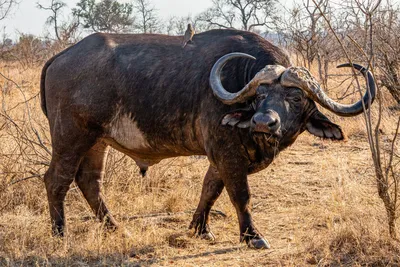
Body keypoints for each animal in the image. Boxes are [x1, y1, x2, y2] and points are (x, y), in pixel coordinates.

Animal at [40, 28, 376, 249]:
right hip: (71, 136)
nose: (263, 122)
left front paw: (200, 228)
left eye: (295, 97)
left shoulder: (220, 157)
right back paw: (60, 234)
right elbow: (241, 195)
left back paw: (115, 227)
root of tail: (60, 56)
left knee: (89, 181)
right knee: (57, 179)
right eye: (261, 95)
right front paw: (252, 236)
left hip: (97, 141)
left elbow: (210, 189)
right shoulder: (228, 154)